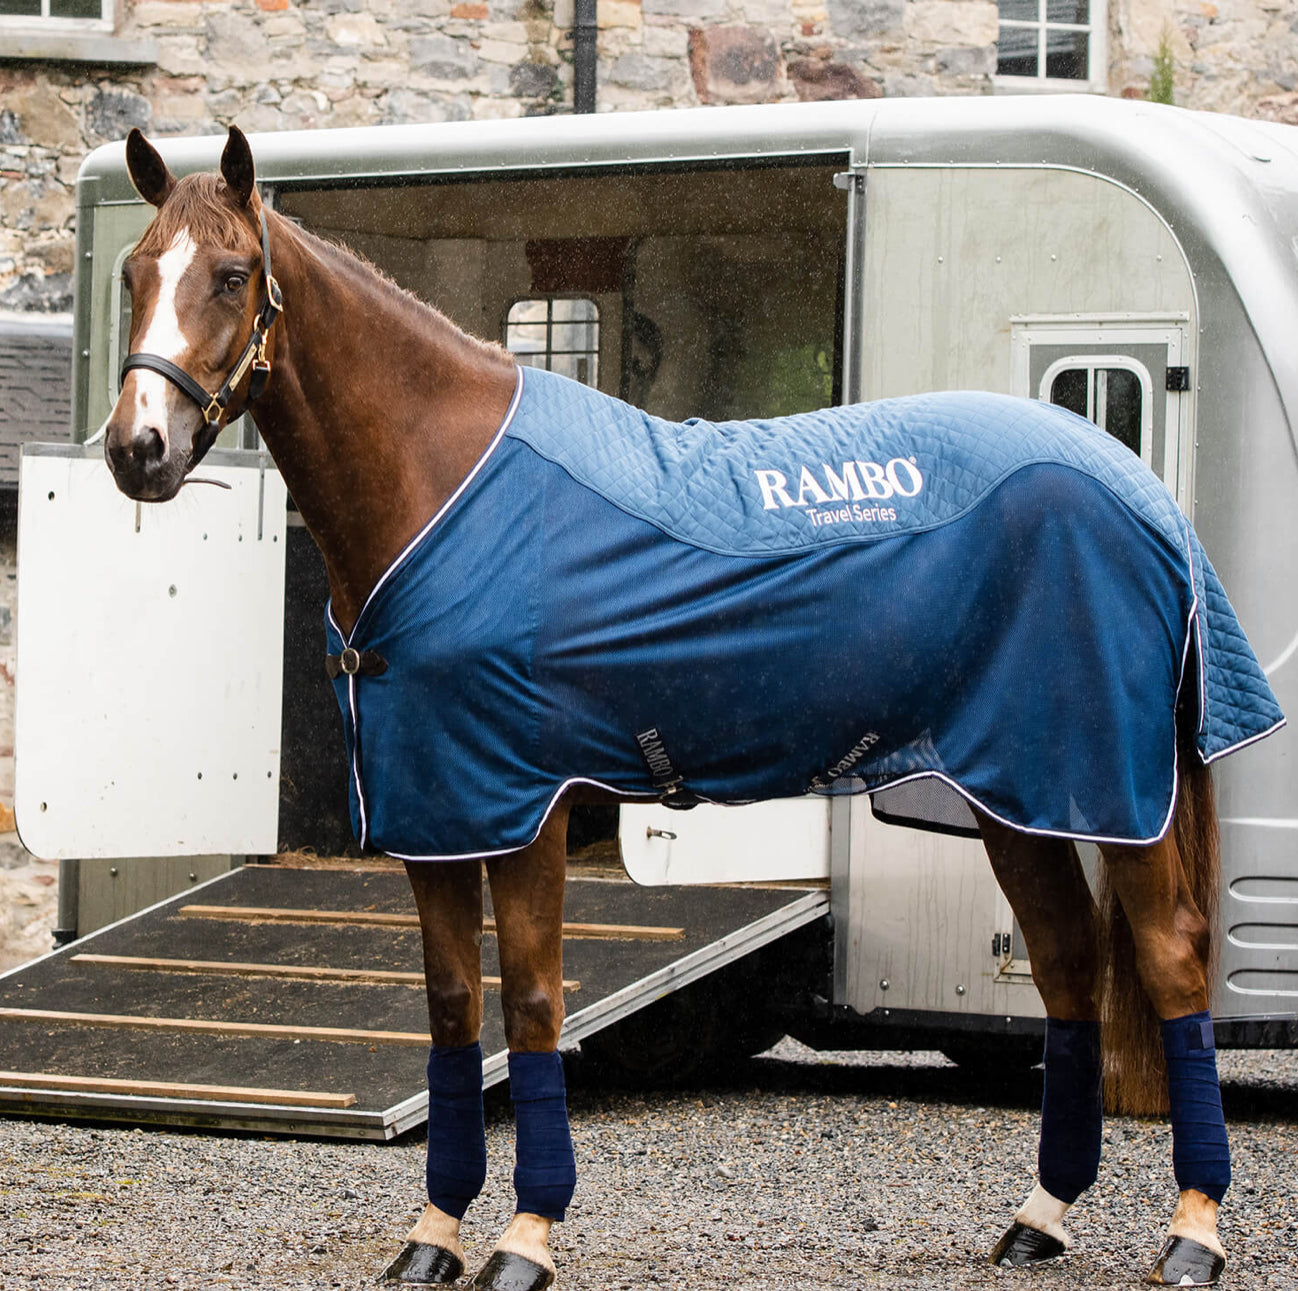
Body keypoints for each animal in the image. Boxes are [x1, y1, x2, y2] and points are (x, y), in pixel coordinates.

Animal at [101, 125, 1283, 1290]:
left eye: (231, 275)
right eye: (134, 273)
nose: (135, 450)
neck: (447, 485)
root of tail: (1139, 491)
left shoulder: (526, 806)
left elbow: (532, 1002)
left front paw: (525, 1238)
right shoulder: (438, 812)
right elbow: (450, 1009)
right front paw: (433, 1235)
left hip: (1116, 785)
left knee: (1173, 957)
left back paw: (1193, 1233)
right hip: (1017, 795)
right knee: (1066, 963)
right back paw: (1041, 1215)